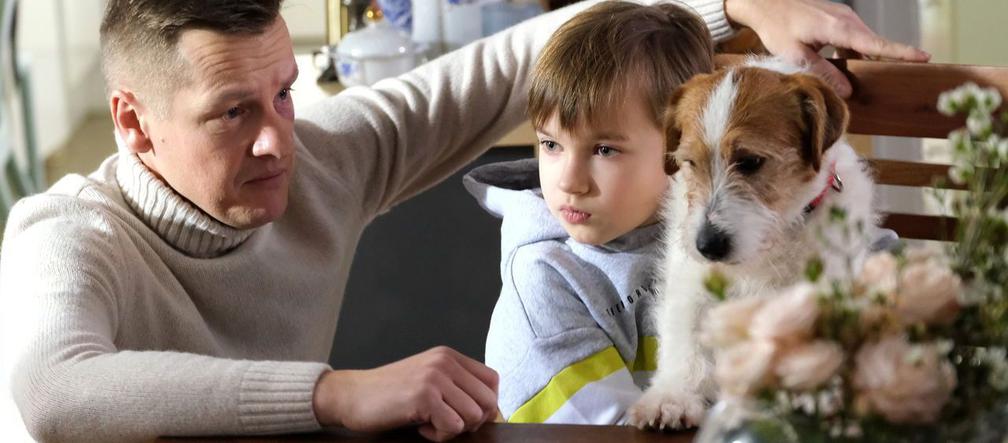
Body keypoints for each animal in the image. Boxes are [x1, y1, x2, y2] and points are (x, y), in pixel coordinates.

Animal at [628, 58, 883, 429]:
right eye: (690, 162)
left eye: (750, 162)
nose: (708, 245)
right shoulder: (690, 286)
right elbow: (684, 340)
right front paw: (673, 395)